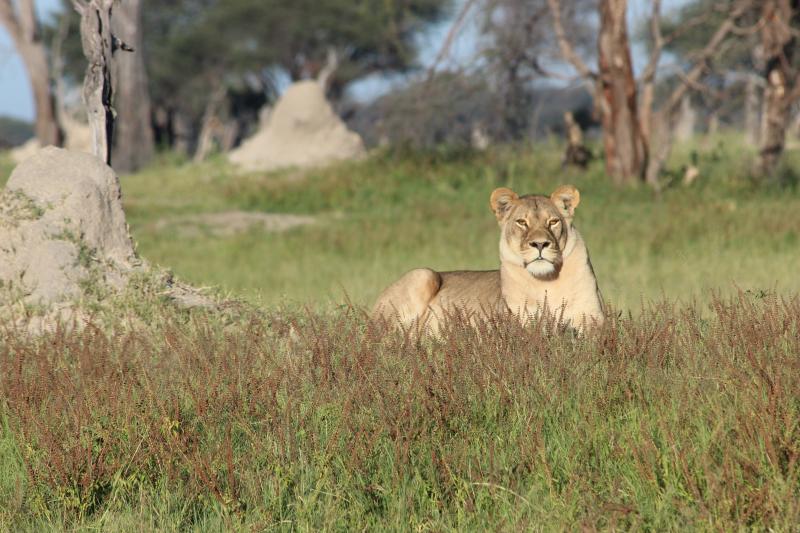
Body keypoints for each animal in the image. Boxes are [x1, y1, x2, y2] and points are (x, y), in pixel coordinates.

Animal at [372, 185, 604, 332]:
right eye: (522, 222)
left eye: (553, 221)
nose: (540, 244)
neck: (546, 282)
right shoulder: (518, 322)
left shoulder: (592, 320)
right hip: (423, 274)